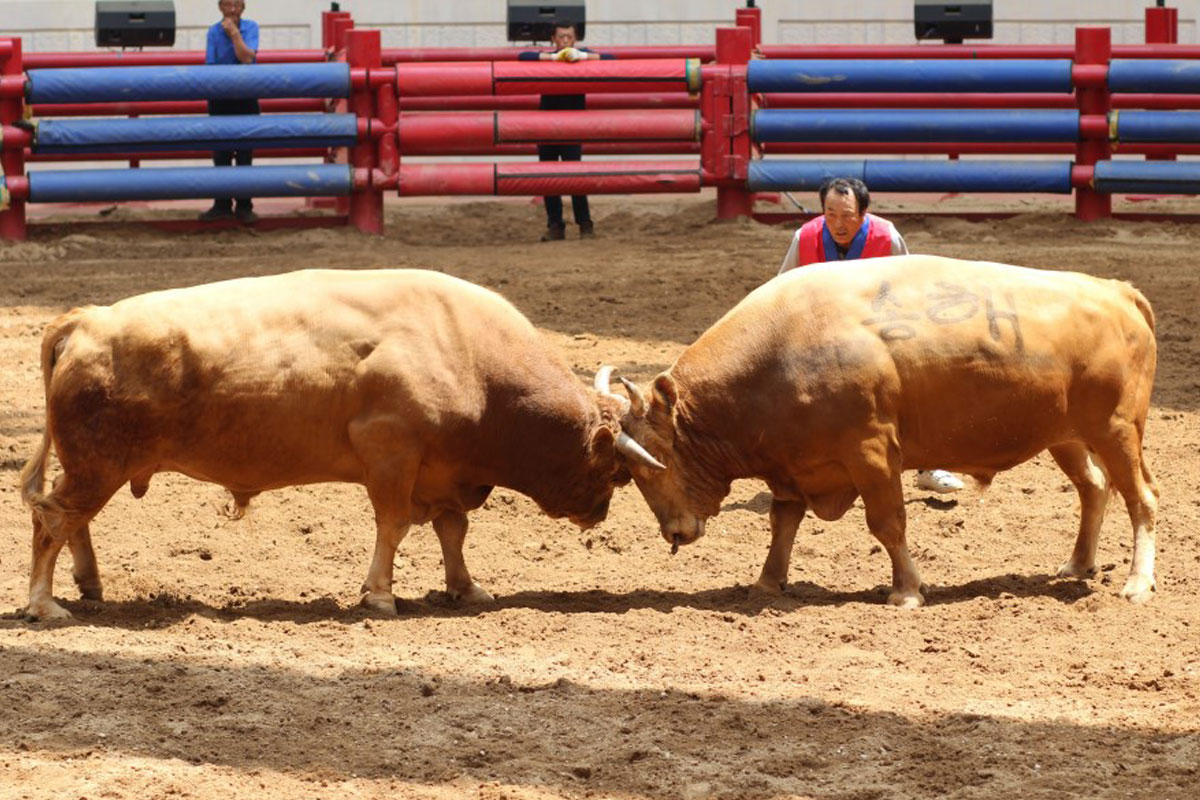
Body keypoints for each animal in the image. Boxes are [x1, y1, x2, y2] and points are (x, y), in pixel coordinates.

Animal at [18, 267, 657, 618]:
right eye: (614, 470)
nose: (598, 513)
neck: (468, 355)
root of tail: (86, 321)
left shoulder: (444, 473)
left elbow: (453, 531)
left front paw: (465, 587)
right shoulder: (391, 457)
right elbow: (393, 527)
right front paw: (379, 595)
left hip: (95, 468)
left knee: (73, 520)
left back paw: (89, 584)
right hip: (97, 466)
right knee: (53, 519)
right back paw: (44, 604)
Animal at [614, 256, 1156, 606]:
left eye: (655, 463)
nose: (674, 532)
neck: (780, 350)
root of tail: (1116, 291)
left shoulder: (870, 452)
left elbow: (888, 523)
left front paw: (907, 590)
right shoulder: (791, 465)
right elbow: (783, 521)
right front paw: (767, 582)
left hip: (1115, 431)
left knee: (1141, 500)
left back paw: (1137, 583)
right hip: (1065, 436)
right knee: (1094, 487)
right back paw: (1079, 563)